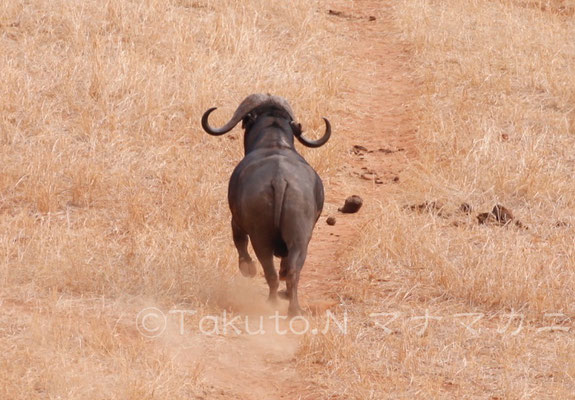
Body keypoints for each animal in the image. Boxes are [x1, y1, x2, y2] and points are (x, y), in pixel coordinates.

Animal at [202, 93, 330, 316]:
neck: (273, 143)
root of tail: (279, 179)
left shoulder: (235, 220)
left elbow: (239, 243)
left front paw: (247, 270)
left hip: (260, 238)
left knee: (268, 270)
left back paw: (271, 302)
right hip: (300, 238)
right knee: (292, 270)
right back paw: (294, 308)